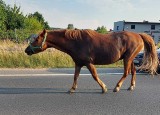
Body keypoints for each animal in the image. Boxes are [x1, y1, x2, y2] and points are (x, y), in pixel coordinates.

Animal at [24, 29, 158, 93]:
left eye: (36, 39)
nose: (26, 50)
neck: (76, 42)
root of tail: (139, 35)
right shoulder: (78, 63)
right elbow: (75, 76)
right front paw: (72, 89)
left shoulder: (88, 63)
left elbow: (94, 75)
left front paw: (103, 88)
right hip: (129, 59)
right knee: (133, 72)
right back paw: (131, 86)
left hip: (128, 58)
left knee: (126, 73)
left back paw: (117, 87)